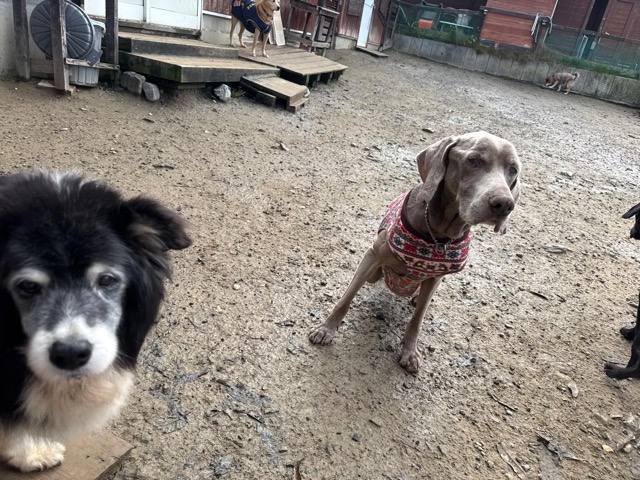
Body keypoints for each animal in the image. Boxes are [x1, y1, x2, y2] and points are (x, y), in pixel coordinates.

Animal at [309, 132, 522, 373]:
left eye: (513, 169)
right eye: (473, 160)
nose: (505, 205)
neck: (438, 235)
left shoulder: (435, 277)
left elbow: (417, 320)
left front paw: (409, 352)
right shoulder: (372, 256)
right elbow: (345, 299)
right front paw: (325, 329)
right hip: (374, 273)